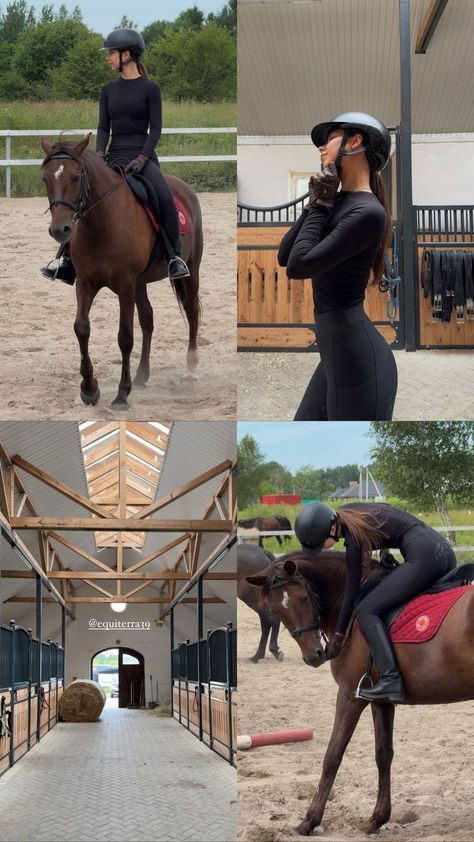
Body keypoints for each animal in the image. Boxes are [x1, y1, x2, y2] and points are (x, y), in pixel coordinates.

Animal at [40, 135, 202, 410]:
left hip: (190, 269)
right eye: (45, 179)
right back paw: (141, 375)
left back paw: (190, 369)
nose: (59, 230)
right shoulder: (85, 283)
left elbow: (125, 337)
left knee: (191, 311)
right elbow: (81, 328)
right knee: (147, 319)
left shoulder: (125, 285)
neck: (101, 223)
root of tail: (185, 188)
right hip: (140, 283)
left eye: (76, 176)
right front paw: (89, 389)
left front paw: (121, 395)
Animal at [248, 552, 474, 832]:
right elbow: (383, 754)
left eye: (303, 597)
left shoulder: (349, 696)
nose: (314, 656)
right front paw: (378, 818)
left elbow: (332, 755)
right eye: (276, 610)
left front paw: (309, 820)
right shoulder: (381, 701)